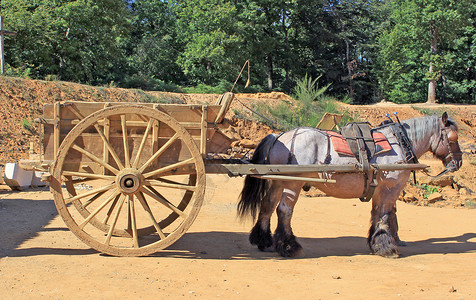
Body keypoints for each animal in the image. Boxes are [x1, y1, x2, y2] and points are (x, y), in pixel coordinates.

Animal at [238, 112, 462, 258]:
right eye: (453, 137)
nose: (457, 163)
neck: (399, 143)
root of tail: (278, 136)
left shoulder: (379, 189)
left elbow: (376, 213)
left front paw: (375, 243)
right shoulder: (390, 188)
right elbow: (385, 214)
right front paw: (386, 247)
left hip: (277, 181)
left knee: (267, 206)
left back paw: (263, 240)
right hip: (293, 183)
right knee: (284, 210)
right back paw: (288, 246)